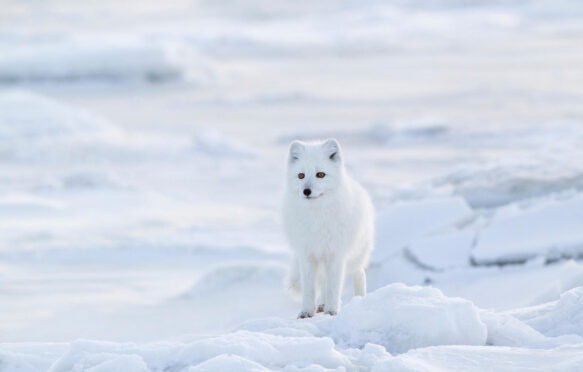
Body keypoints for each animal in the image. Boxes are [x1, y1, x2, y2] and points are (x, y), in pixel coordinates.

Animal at [282, 138, 374, 318]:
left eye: (320, 174)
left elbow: (333, 287)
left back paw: (359, 299)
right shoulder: (307, 255)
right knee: (323, 283)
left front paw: (332, 311)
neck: (317, 217)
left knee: (359, 274)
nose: (306, 191)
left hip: (354, 256)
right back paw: (321, 305)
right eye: (301, 175)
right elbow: (310, 289)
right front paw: (306, 312)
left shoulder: (335, 255)